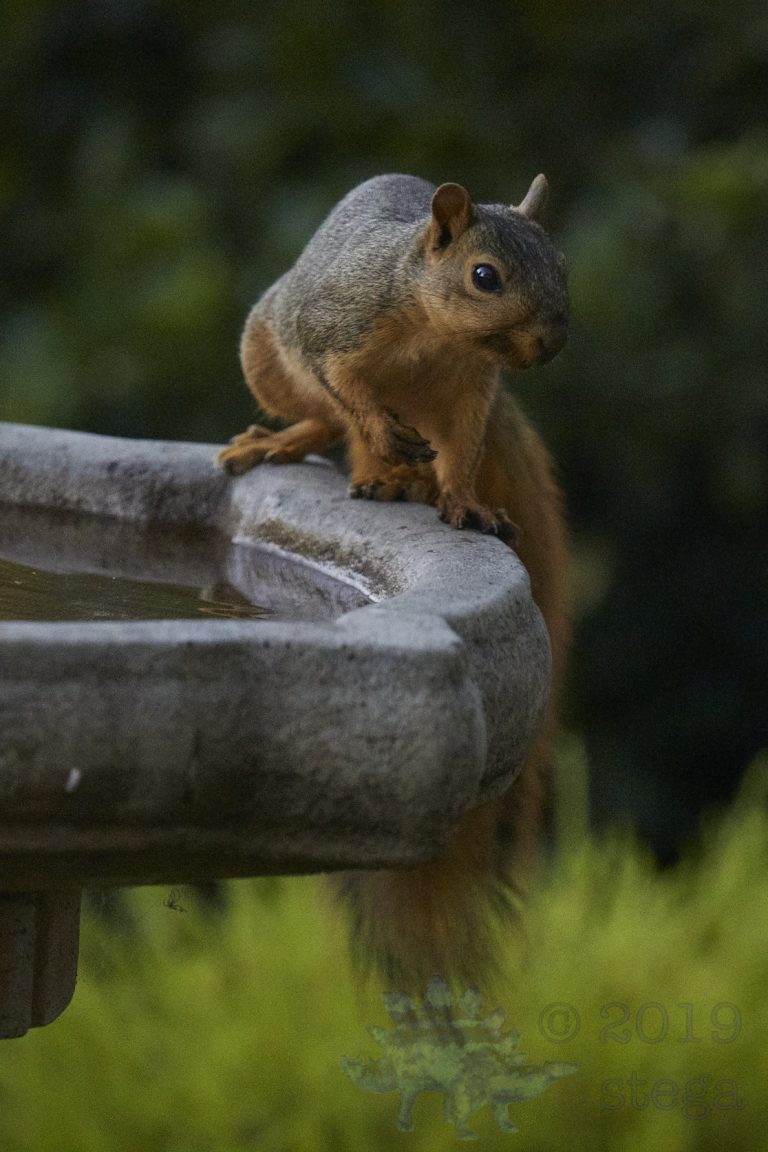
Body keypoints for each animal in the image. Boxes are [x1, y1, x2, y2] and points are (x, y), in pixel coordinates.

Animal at [217, 173, 570, 988]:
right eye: (484, 277)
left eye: (562, 263)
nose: (550, 342)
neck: (437, 334)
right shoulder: (335, 330)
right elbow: (347, 389)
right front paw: (379, 430)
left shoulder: (471, 395)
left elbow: (464, 454)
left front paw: (465, 502)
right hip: (267, 356)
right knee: (327, 420)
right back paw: (321, 451)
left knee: (408, 449)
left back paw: (413, 484)